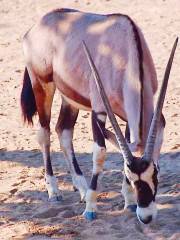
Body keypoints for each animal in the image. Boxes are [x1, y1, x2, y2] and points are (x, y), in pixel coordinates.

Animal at [20, 8, 177, 224]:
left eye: (156, 174)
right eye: (133, 178)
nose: (146, 217)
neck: (124, 53)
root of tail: (37, 26)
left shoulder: (126, 115)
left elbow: (125, 146)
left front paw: (129, 201)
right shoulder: (99, 110)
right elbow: (100, 153)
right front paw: (90, 208)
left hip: (70, 97)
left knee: (64, 131)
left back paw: (82, 189)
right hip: (42, 85)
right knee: (45, 134)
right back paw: (54, 191)